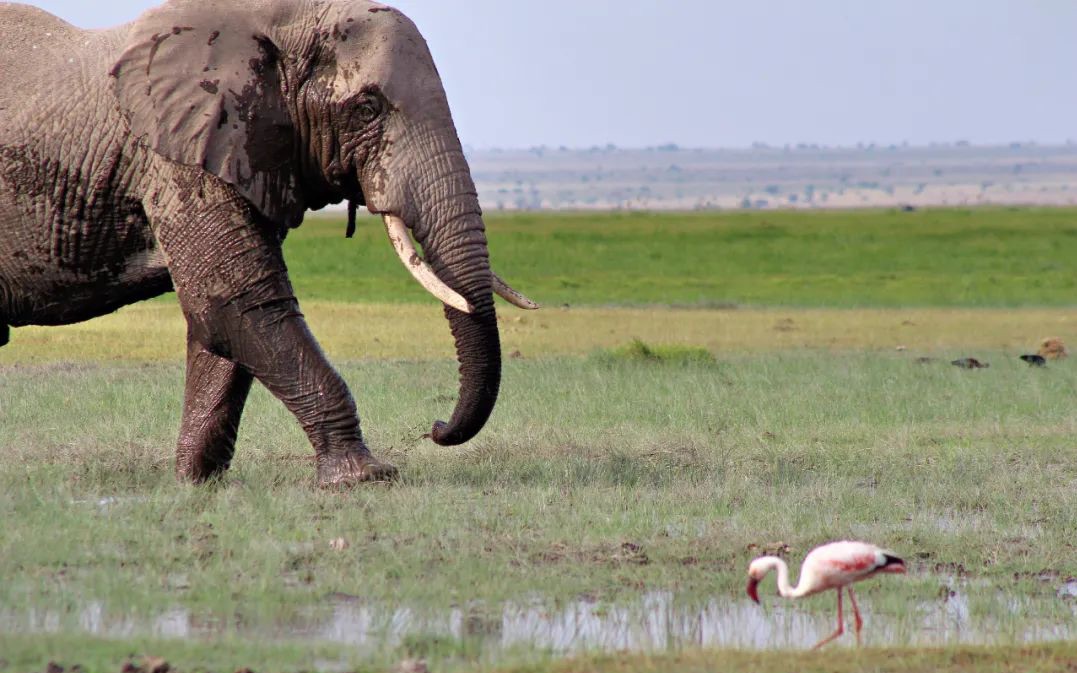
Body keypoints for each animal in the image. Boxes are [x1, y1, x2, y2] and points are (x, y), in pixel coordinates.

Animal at [0, 0, 536, 482]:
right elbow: (235, 303)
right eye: (366, 108)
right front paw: (364, 477)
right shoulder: (178, 156)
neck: (282, 18)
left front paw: (196, 484)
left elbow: (223, 324)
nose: (436, 428)